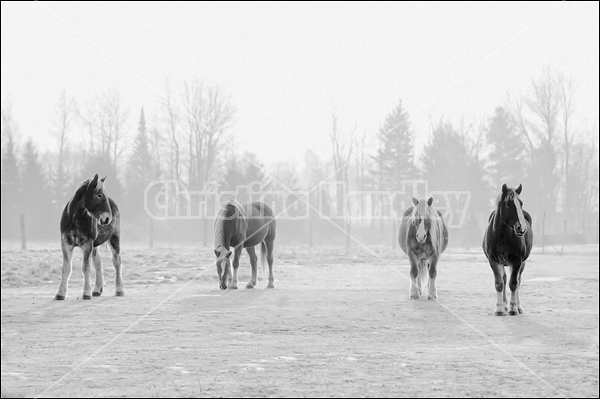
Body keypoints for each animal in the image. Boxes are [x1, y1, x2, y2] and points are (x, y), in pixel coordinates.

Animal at [54, 173, 123, 302]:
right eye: (99, 195)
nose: (107, 218)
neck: (76, 218)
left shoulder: (87, 244)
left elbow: (86, 267)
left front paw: (86, 293)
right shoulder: (66, 243)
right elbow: (66, 268)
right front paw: (60, 293)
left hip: (114, 238)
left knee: (117, 262)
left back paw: (119, 290)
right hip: (95, 245)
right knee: (98, 262)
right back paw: (97, 290)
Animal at [482, 184, 536, 316]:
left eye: (521, 203)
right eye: (508, 204)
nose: (521, 228)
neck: (502, 236)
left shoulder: (517, 261)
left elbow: (514, 284)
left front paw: (513, 308)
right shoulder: (494, 261)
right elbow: (499, 283)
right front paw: (499, 309)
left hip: (521, 263)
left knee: (517, 281)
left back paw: (518, 307)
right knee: (505, 279)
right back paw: (504, 305)